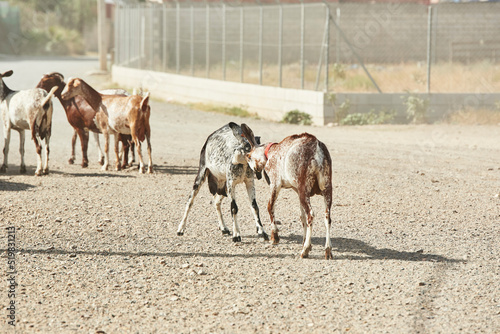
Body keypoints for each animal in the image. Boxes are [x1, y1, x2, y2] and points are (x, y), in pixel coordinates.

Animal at [240, 124, 334, 260]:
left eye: (248, 156)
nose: (254, 170)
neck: (269, 152)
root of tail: (317, 149)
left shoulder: (276, 184)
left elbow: (270, 207)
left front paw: (275, 237)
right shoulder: (297, 191)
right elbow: (302, 217)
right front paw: (305, 241)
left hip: (305, 189)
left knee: (311, 215)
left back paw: (305, 251)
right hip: (326, 188)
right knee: (327, 217)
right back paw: (327, 250)